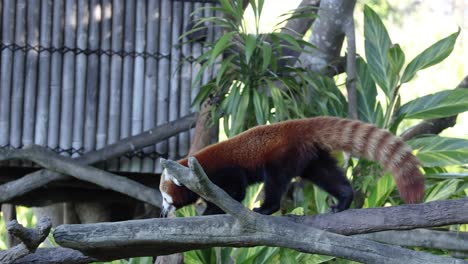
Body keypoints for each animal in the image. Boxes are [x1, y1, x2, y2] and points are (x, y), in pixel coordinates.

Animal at [159, 116, 426, 216]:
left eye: (164, 197)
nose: (163, 210)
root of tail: (300, 125)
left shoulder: (221, 172)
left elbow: (236, 190)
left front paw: (212, 210)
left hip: (283, 155)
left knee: (275, 181)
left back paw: (267, 208)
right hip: (311, 158)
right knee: (327, 175)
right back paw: (343, 199)